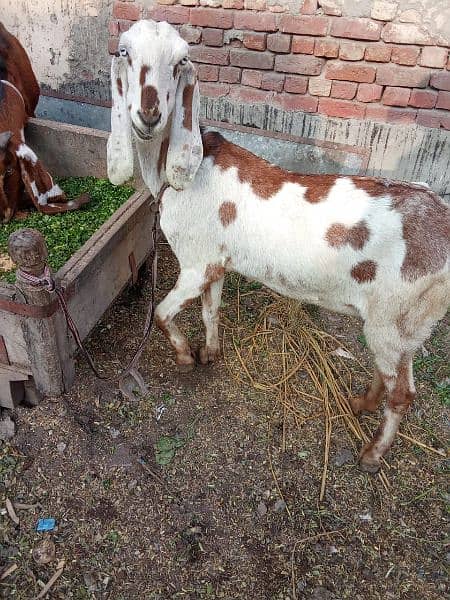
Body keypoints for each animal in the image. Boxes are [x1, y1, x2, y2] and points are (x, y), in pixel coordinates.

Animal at [108, 19, 450, 474]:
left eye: (181, 60)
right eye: (124, 52)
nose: (149, 115)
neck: (185, 170)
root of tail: (443, 222)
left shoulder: (195, 265)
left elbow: (162, 314)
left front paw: (184, 357)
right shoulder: (215, 261)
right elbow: (211, 309)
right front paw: (209, 353)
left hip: (393, 316)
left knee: (403, 393)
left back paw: (372, 453)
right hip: (404, 323)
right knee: (393, 373)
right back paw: (360, 404)